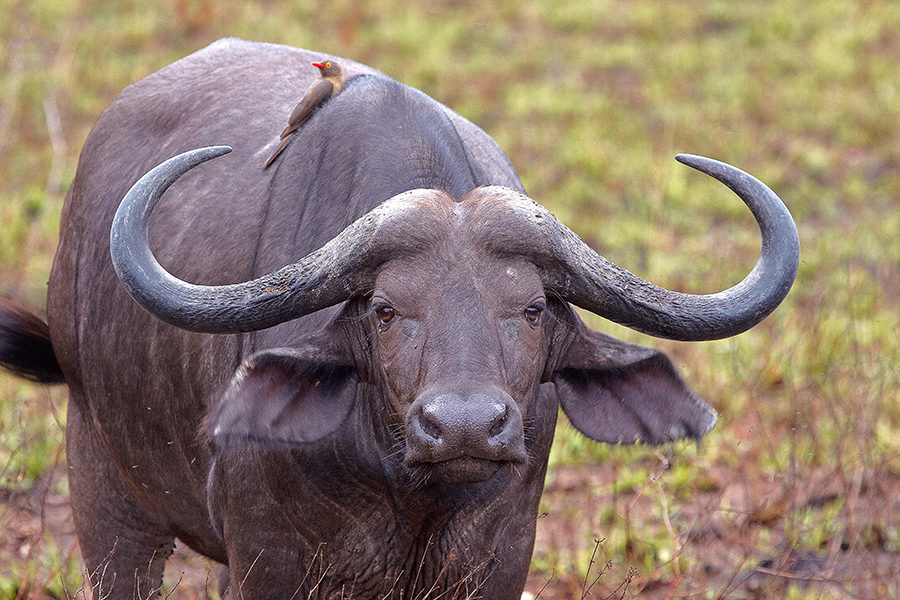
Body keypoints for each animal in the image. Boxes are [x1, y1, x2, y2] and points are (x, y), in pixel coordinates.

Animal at [0, 38, 800, 600]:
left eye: (533, 308)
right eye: (385, 310)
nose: (467, 427)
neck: (403, 487)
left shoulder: (497, 557)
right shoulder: (267, 560)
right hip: (105, 492)